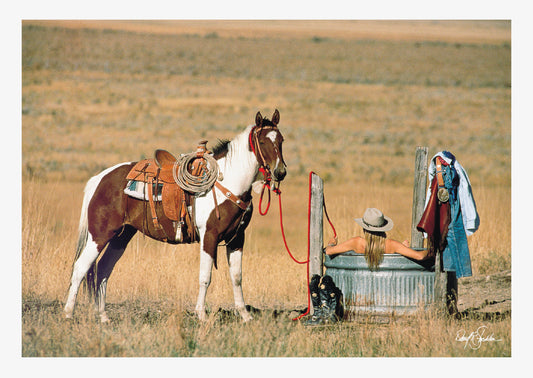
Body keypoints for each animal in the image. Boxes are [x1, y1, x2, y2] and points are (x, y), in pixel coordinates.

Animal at [64, 109, 286, 322]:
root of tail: (100, 178)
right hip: (99, 235)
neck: (228, 181)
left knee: (103, 269)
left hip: (122, 236)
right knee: (80, 268)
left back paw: (103, 317)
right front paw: (201, 315)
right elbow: (205, 277)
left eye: (281, 140)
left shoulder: (238, 238)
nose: (280, 172)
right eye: (263, 141)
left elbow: (237, 277)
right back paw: (68, 313)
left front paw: (245, 315)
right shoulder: (209, 236)